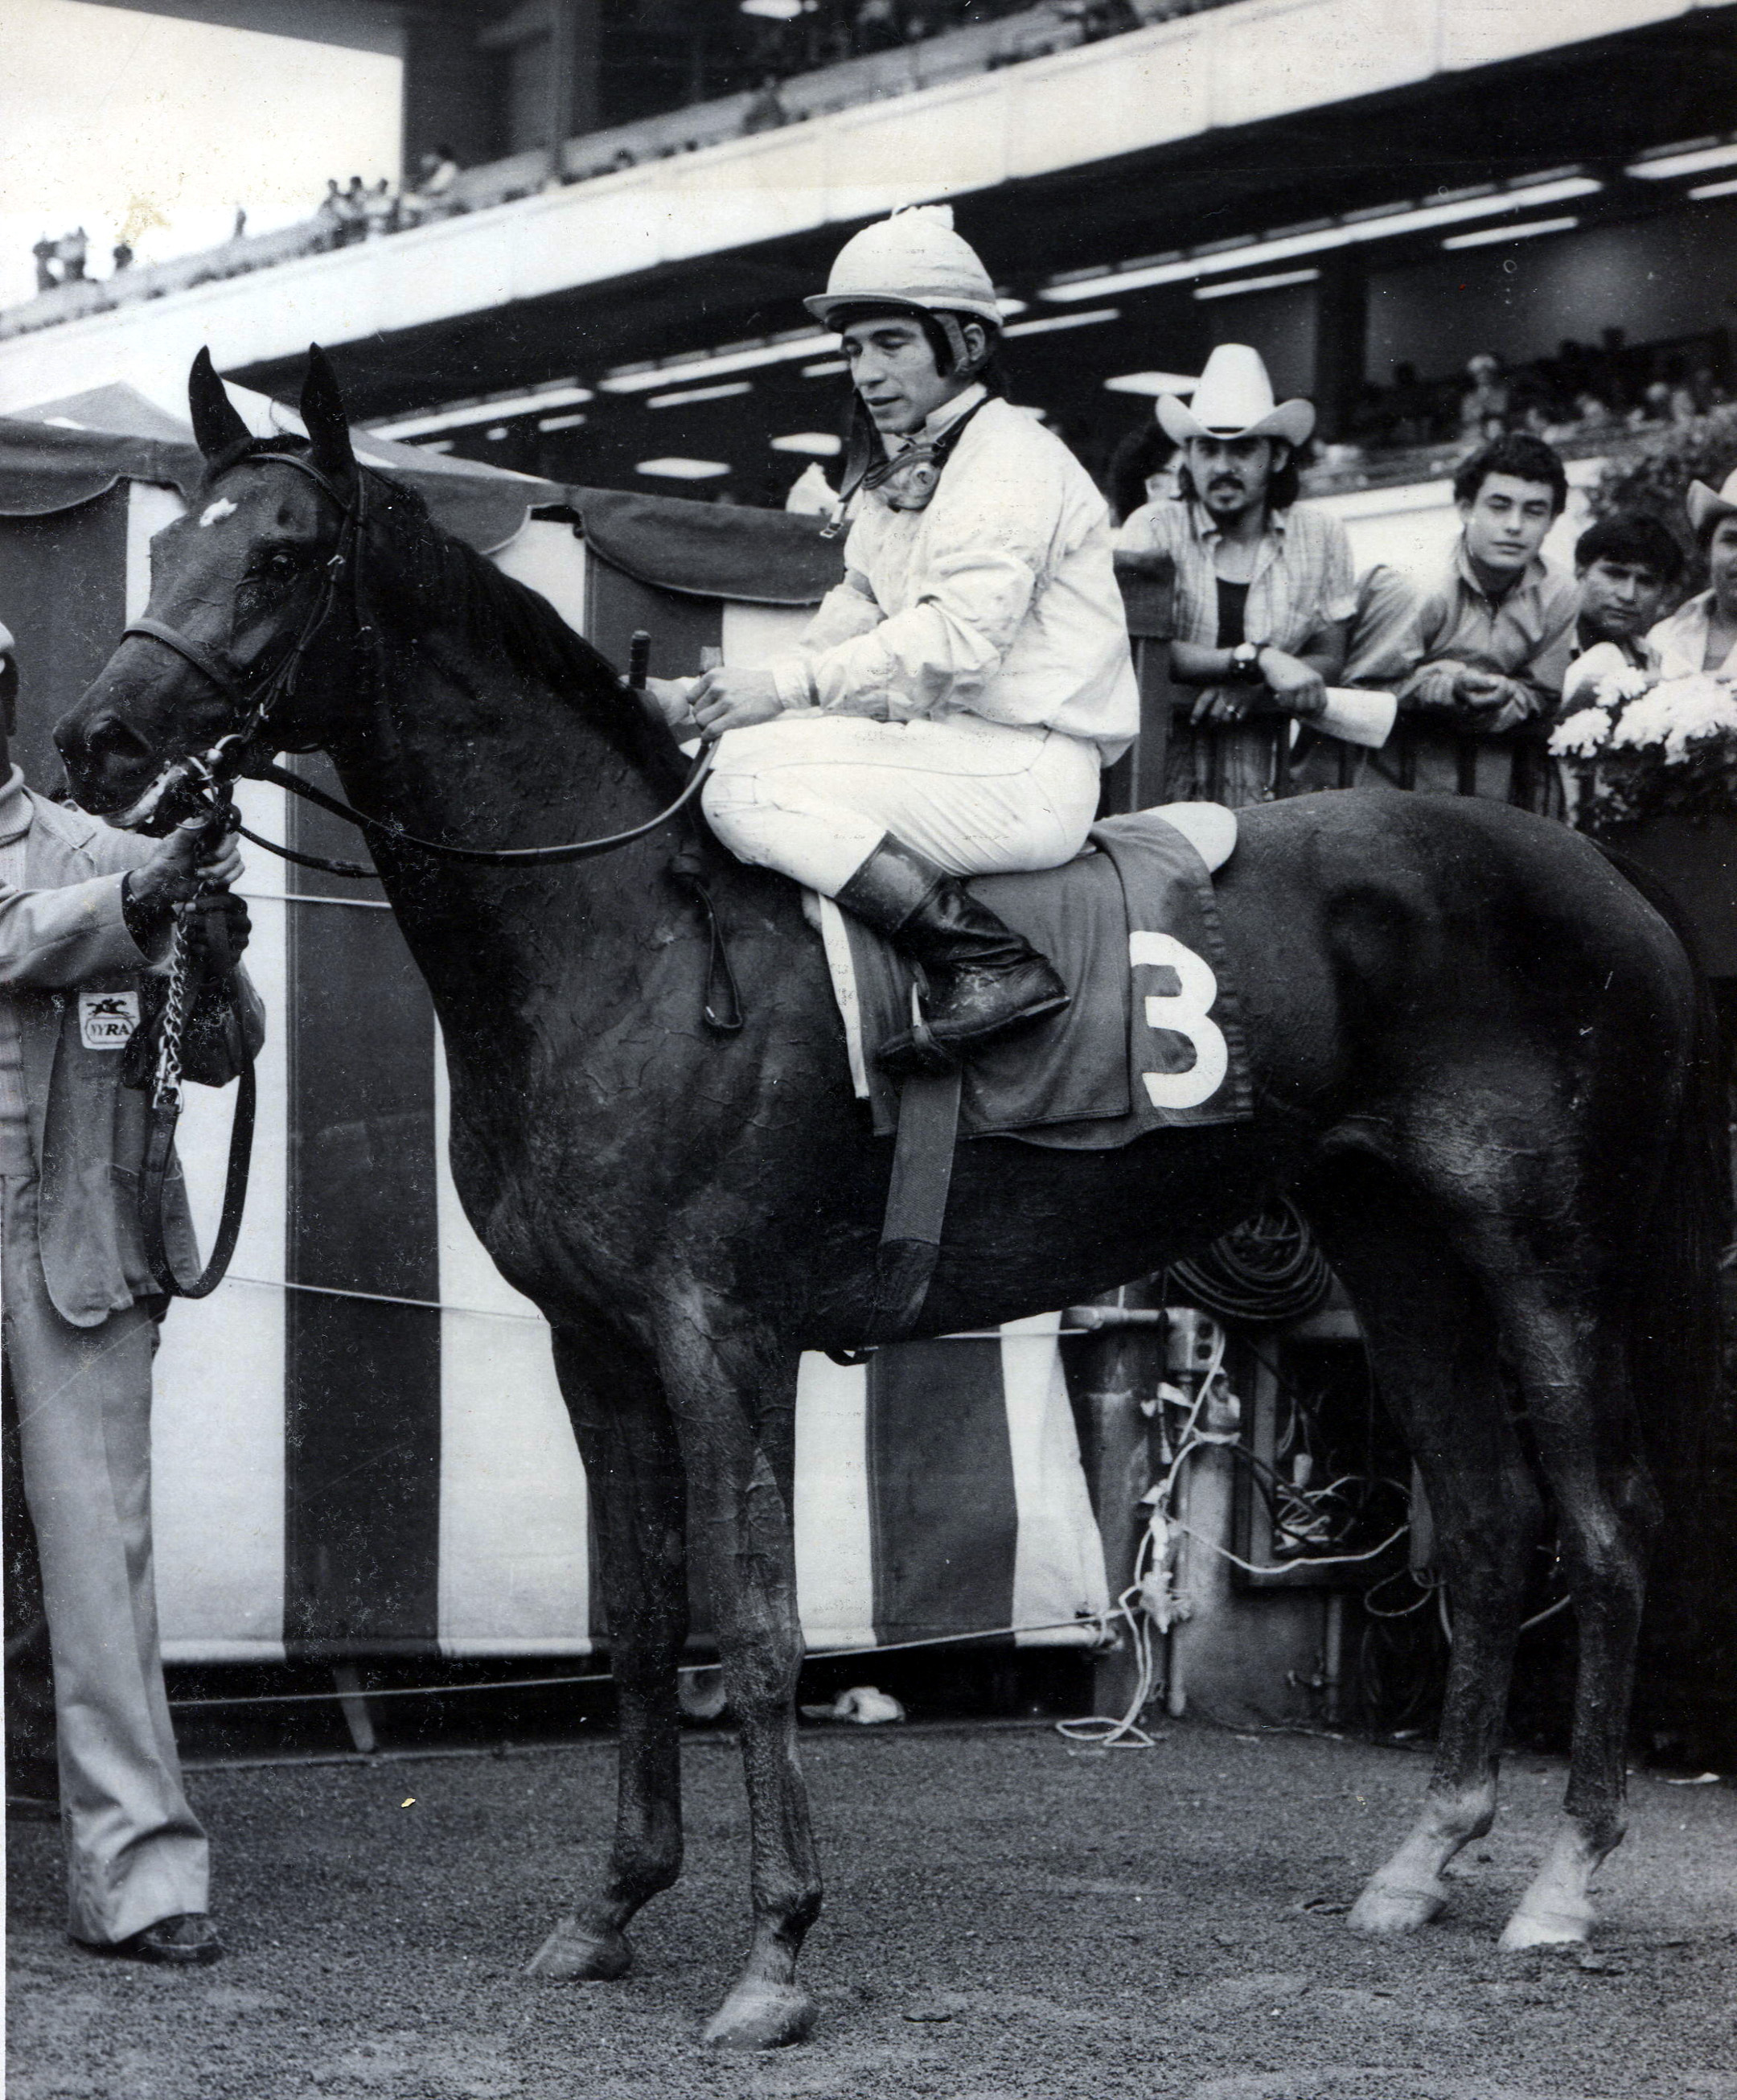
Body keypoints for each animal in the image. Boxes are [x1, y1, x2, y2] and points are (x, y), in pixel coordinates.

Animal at [57, 356, 1722, 2049]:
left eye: (279, 557)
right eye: (163, 547)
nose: (94, 740)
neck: (627, 935)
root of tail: (1612, 878)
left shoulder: (723, 1334)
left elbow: (761, 1627)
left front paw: (774, 1951)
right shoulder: (596, 1343)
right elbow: (641, 1619)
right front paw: (613, 1906)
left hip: (1552, 1258)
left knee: (1607, 1524)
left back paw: (1562, 1881)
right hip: (1401, 1253)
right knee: (1491, 1522)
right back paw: (1423, 1859)